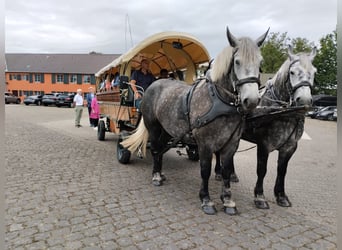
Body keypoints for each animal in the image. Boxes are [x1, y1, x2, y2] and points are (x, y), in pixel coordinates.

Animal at [121, 27, 268, 215]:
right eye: (237, 61)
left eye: (260, 62)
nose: (251, 100)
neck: (219, 100)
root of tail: (152, 87)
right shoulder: (205, 143)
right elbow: (205, 170)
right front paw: (206, 200)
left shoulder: (231, 144)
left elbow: (226, 171)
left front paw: (228, 201)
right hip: (153, 127)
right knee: (154, 149)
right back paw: (156, 176)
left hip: (167, 130)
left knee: (160, 148)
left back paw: (160, 172)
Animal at [215, 45, 316, 209]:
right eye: (292, 72)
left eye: (314, 72)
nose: (305, 100)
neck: (281, 112)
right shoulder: (264, 144)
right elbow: (262, 170)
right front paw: (260, 197)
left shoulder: (290, 147)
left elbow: (282, 171)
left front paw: (281, 196)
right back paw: (218, 172)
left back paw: (232, 174)